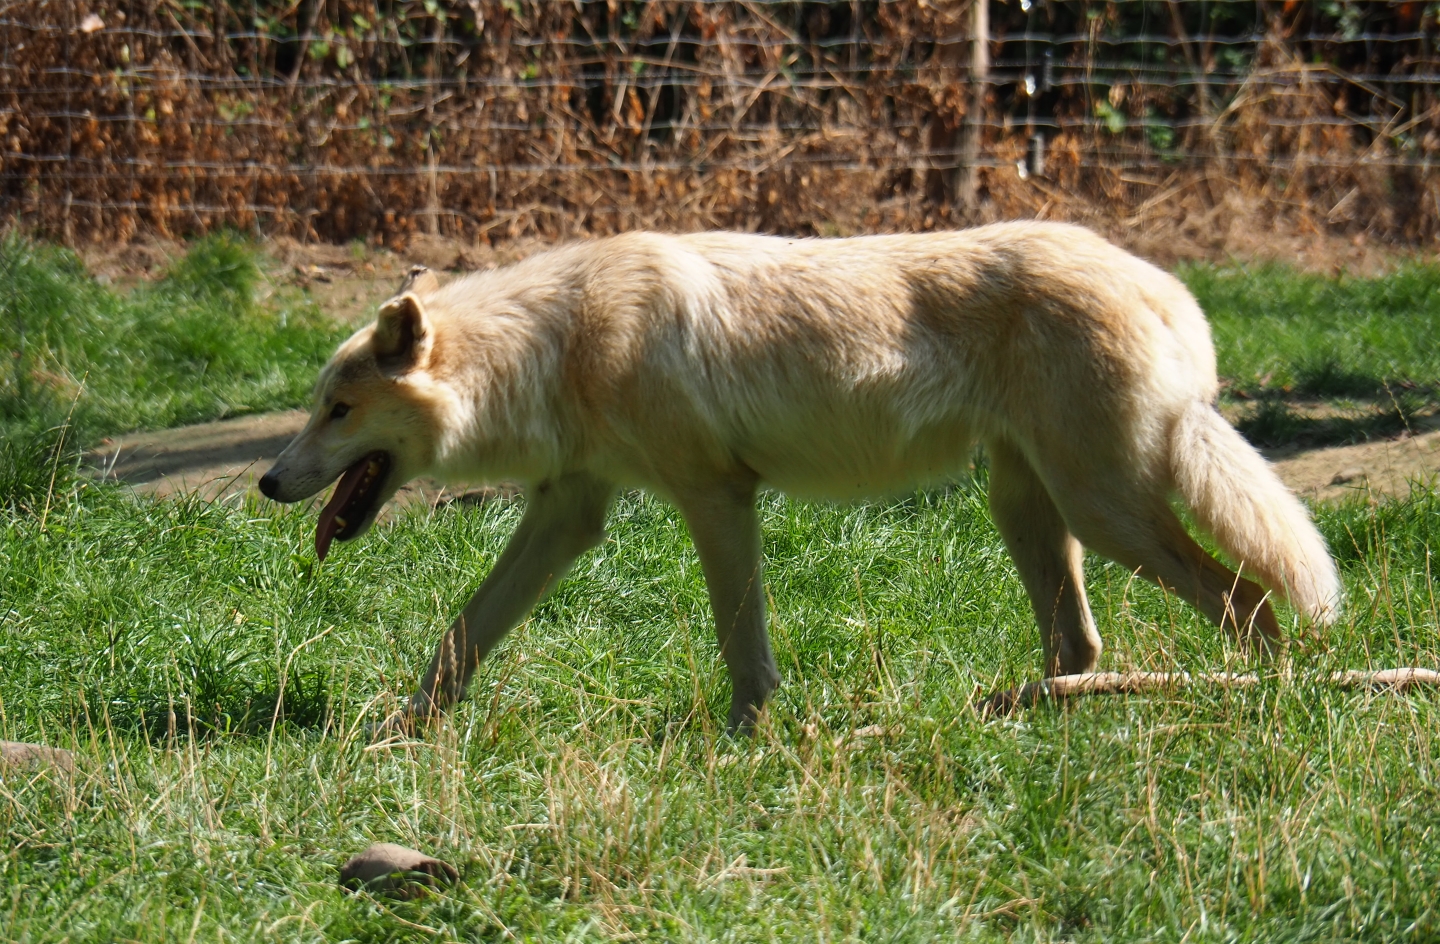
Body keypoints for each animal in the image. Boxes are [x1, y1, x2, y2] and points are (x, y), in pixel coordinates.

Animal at [259, 223, 1340, 731]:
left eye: (337, 410)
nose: (268, 483)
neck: (557, 346)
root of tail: (1168, 288)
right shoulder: (569, 512)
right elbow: (462, 633)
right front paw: (401, 729)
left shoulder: (716, 498)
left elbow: (742, 639)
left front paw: (748, 733)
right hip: (1029, 508)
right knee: (1083, 639)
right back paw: (1047, 713)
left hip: (1103, 505)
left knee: (1250, 602)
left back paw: (1273, 703)